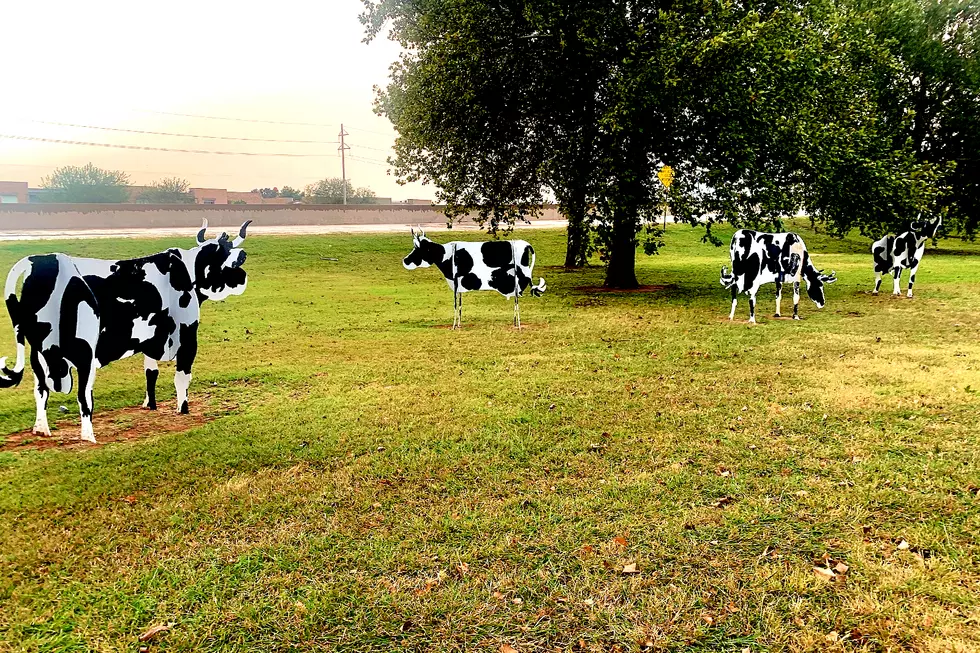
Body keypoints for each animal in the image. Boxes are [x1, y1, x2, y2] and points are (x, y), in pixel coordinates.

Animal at [0, 220, 251, 444]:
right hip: (84, 353)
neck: (186, 272)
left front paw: (150, 405)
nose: (244, 276)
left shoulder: (151, 339)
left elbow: (151, 373)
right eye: (231, 262)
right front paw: (183, 409)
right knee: (83, 395)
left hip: (38, 352)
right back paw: (88, 437)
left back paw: (41, 429)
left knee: (40, 389)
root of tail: (41, 260)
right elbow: (182, 376)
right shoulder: (188, 335)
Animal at [402, 229, 548, 332]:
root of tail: (526, 244)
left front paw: (454, 326)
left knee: (517, 299)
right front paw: (458, 324)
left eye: (417, 249)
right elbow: (460, 304)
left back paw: (518, 325)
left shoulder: (455, 281)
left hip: (521, 276)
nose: (405, 260)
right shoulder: (458, 284)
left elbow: (455, 303)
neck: (445, 256)